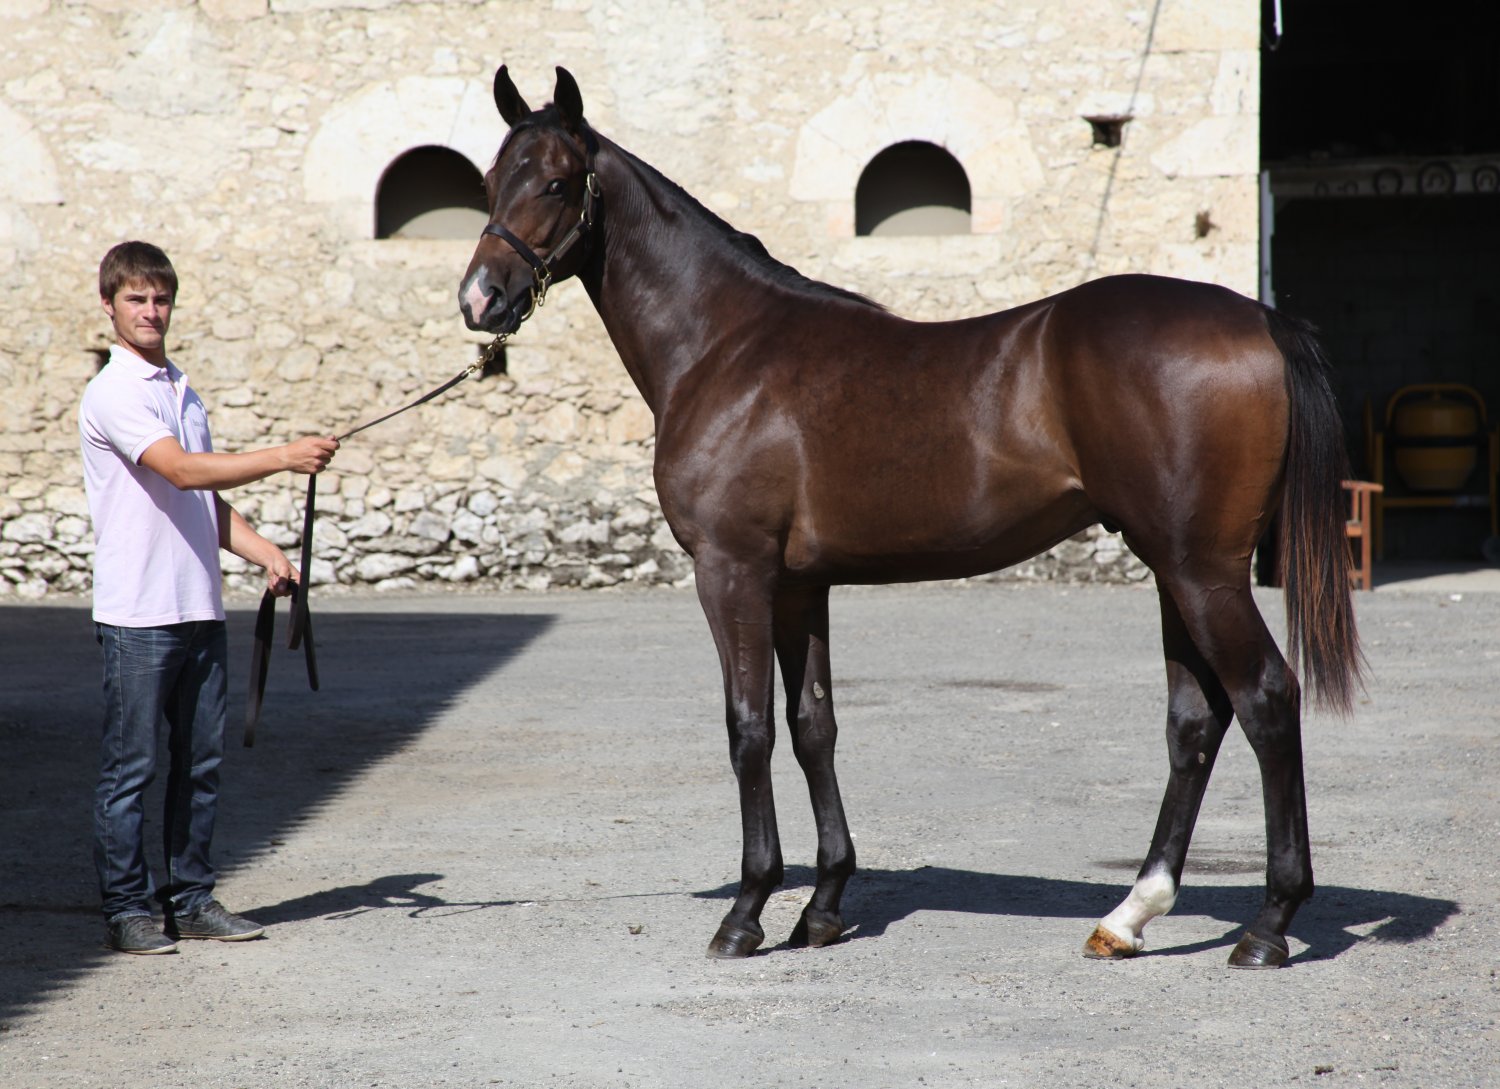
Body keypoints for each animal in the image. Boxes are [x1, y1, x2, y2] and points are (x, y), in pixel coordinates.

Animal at [459, 66, 1361, 970]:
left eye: (555, 181)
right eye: (489, 181)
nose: (480, 299)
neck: (726, 347)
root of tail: (1261, 320)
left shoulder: (732, 570)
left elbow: (749, 728)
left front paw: (747, 910)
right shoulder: (800, 585)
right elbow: (813, 724)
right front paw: (822, 906)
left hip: (1202, 571)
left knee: (1267, 699)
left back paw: (1269, 924)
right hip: (1175, 569)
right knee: (1196, 721)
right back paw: (1130, 914)